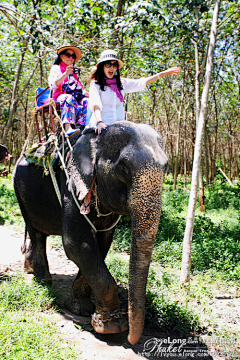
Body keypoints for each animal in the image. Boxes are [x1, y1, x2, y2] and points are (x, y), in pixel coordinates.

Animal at [13, 121, 167, 346]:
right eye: (123, 168)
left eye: (167, 168)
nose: (131, 340)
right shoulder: (72, 185)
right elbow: (76, 243)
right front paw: (112, 326)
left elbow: (101, 244)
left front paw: (80, 309)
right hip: (20, 192)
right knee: (36, 232)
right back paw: (43, 281)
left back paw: (30, 268)